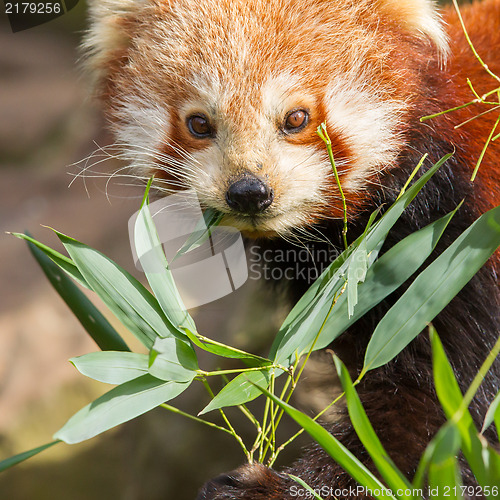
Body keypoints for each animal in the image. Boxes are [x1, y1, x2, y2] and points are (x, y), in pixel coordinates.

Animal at [84, 0, 498, 498]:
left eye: (296, 118)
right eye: (199, 123)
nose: (248, 191)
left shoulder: (456, 251)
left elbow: (436, 414)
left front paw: (275, 488)